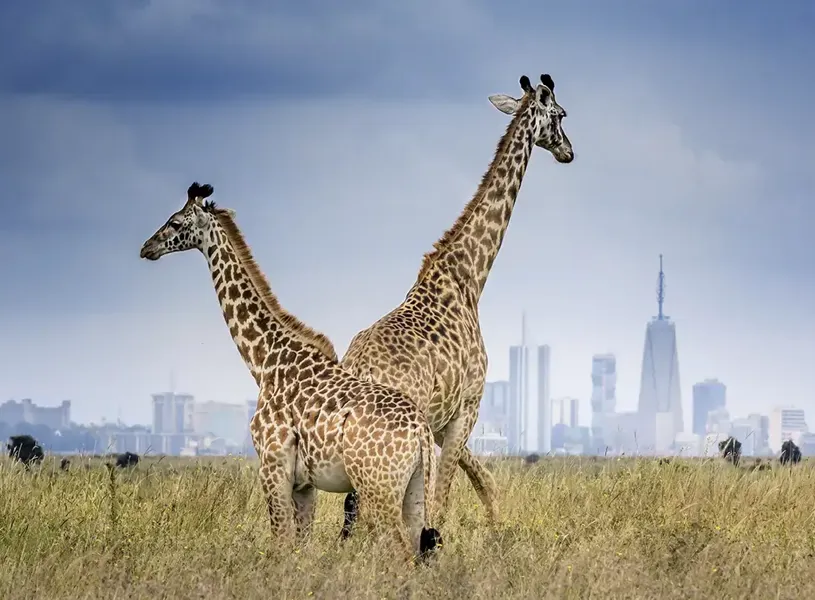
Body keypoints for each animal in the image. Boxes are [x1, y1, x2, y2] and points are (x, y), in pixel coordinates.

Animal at [139, 182, 442, 562]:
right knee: (417, 548)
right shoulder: (304, 483)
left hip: (378, 488)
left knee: (399, 549)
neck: (266, 362)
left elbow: (281, 541)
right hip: (416, 487)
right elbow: (301, 546)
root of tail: (421, 432)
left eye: (175, 222)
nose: (146, 248)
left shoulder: (272, 466)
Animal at [339, 74, 574, 537]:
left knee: (353, 509)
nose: (569, 151)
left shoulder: (445, 420)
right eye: (560, 115)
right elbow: (442, 502)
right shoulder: (468, 406)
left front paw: (497, 530)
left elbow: (485, 482)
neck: (469, 280)